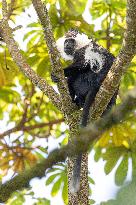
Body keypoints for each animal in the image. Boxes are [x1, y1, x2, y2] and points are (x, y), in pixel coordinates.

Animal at [51, 28, 117, 194]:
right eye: (66, 42)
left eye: (71, 41)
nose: (67, 45)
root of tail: (97, 84)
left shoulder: (84, 52)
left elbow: (82, 64)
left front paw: (58, 73)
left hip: (84, 83)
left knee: (75, 76)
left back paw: (75, 101)